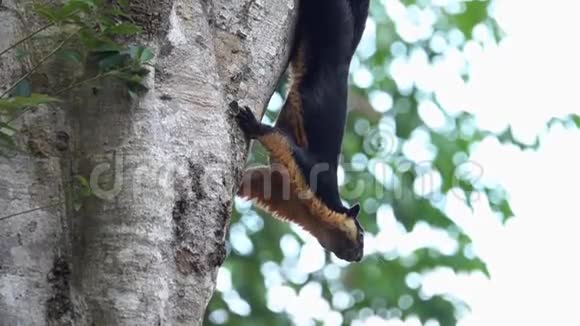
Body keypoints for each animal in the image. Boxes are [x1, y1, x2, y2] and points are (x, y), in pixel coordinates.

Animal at [233, 0, 370, 262]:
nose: (359, 257)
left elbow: (252, 180)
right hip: (329, 19)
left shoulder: (274, 186)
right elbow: (277, 137)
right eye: (361, 234)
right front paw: (252, 124)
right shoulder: (308, 170)